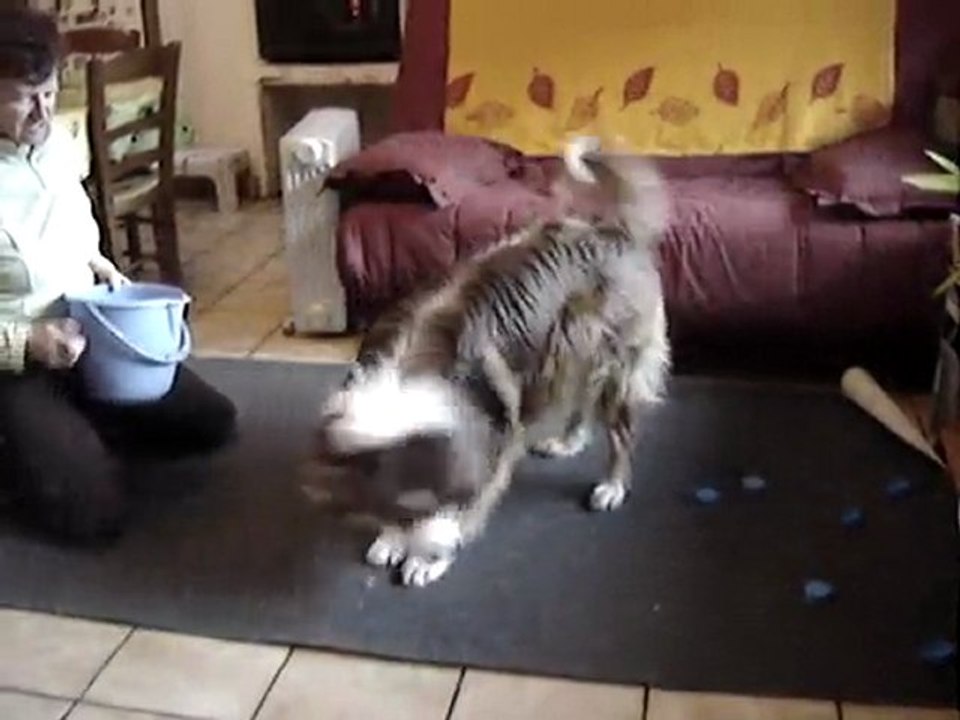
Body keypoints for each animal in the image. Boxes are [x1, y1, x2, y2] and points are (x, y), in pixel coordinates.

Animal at [309, 137, 671, 587]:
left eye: (435, 498)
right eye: (400, 507)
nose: (431, 550)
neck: (408, 368)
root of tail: (614, 229)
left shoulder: (492, 442)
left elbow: (468, 504)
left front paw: (427, 559)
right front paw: (394, 538)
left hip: (610, 360)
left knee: (621, 432)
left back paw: (613, 486)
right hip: (569, 353)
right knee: (580, 401)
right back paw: (568, 441)